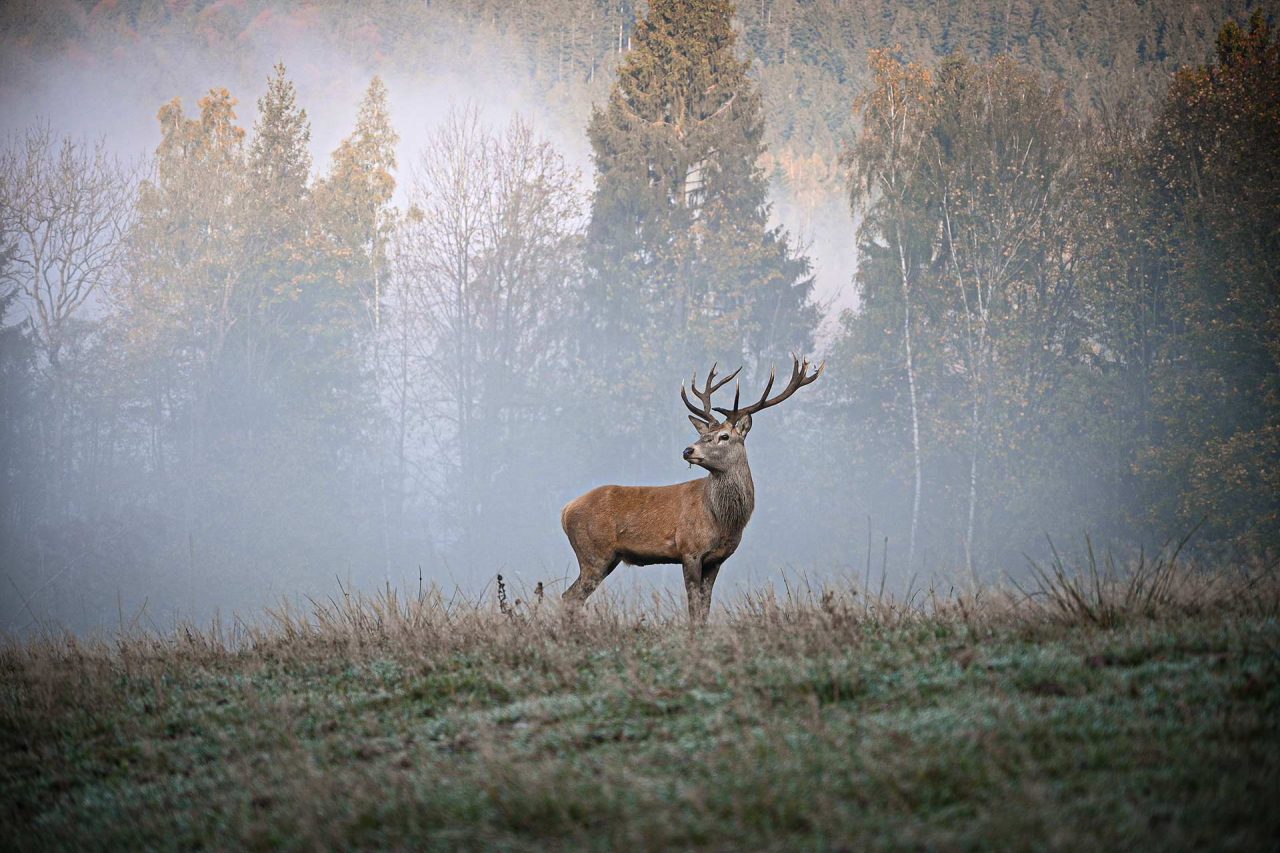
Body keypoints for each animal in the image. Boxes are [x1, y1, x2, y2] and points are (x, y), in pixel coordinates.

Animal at [560, 355, 823, 622]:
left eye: (725, 436)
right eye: (704, 434)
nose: (688, 450)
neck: (722, 520)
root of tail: (566, 510)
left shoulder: (716, 559)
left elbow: (704, 608)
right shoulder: (690, 550)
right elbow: (694, 608)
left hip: (605, 557)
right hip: (594, 553)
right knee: (569, 596)